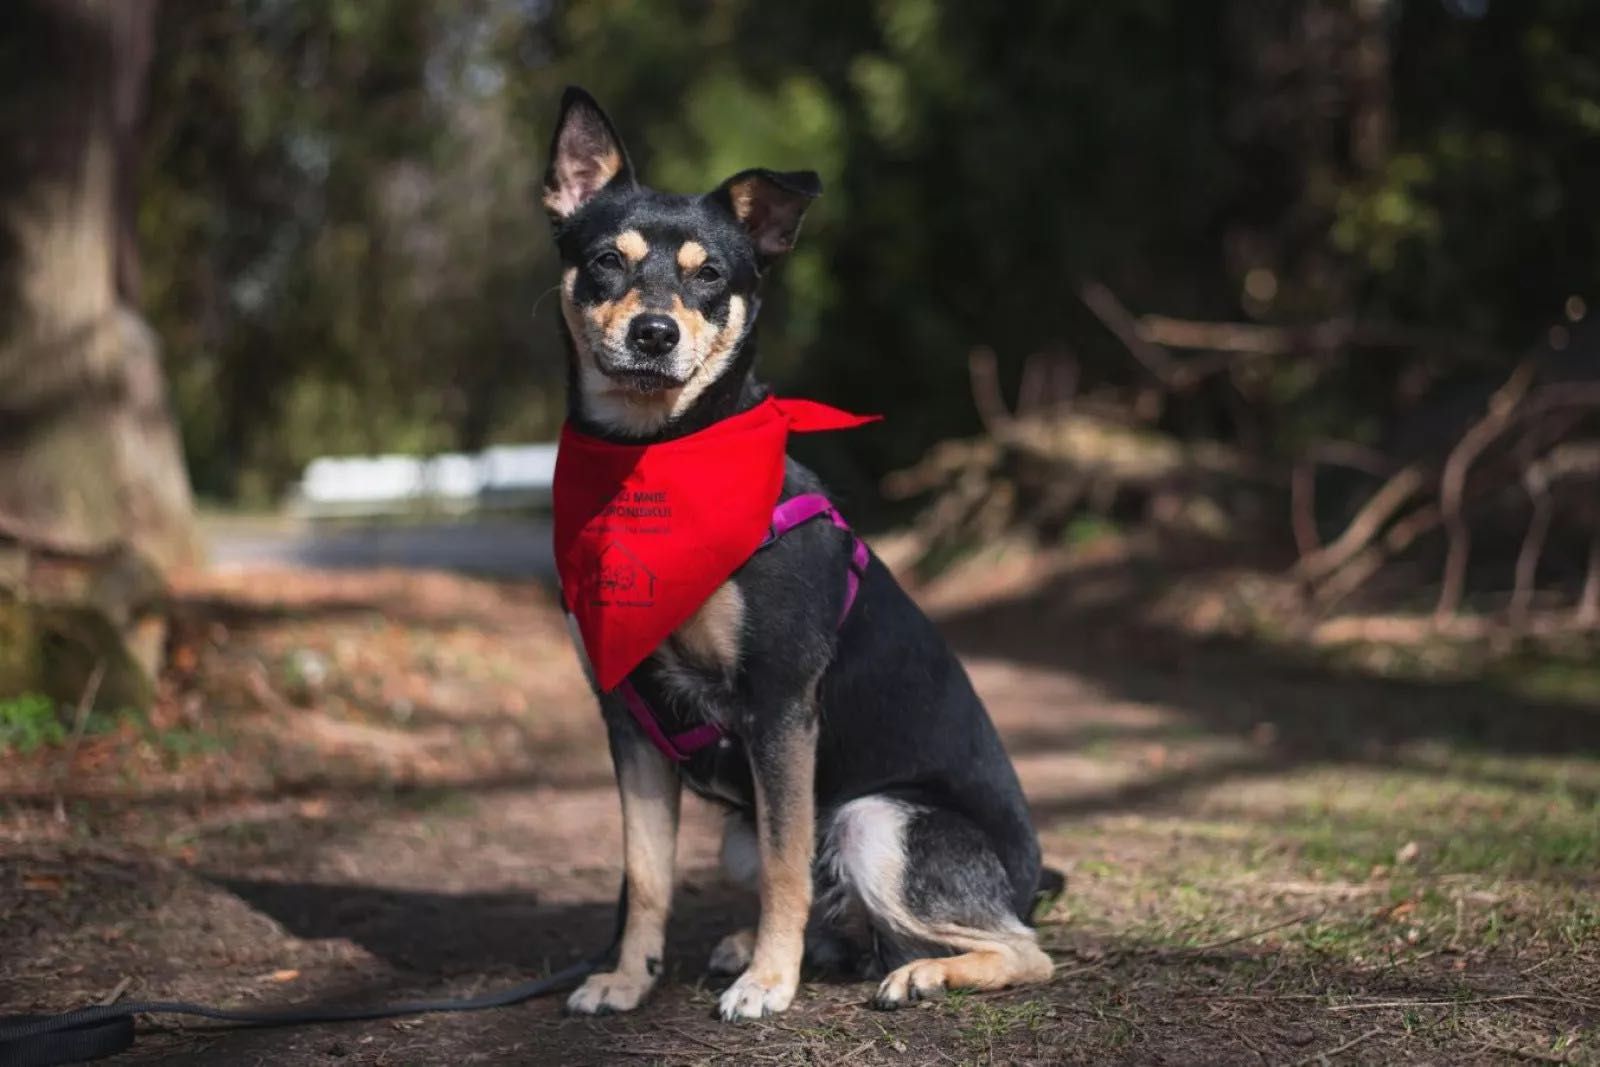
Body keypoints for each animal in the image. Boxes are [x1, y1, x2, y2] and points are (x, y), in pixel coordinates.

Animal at [544, 87, 1056, 1023]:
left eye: (711, 274)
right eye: (605, 261)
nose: (654, 333)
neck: (654, 456)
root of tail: (1028, 876)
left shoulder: (779, 705)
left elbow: (788, 867)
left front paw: (767, 984)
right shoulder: (626, 717)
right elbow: (645, 873)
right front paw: (628, 977)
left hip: (873, 819)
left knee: (1020, 947)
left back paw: (914, 971)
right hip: (750, 828)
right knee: (837, 916)